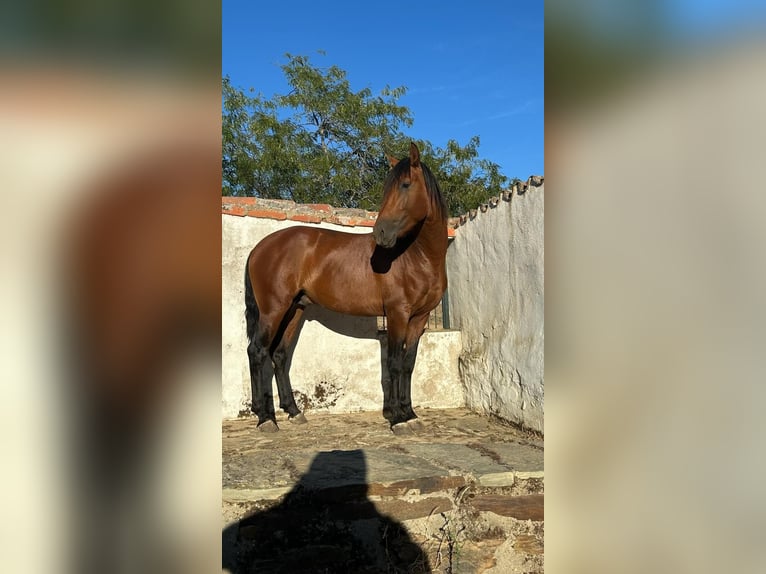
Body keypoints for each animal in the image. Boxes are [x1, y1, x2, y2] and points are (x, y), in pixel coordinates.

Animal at [246, 143, 450, 432]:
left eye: (406, 184)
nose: (380, 233)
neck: (417, 256)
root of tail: (260, 247)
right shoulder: (397, 314)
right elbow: (394, 364)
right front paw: (398, 419)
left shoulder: (419, 318)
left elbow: (408, 364)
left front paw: (410, 414)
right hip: (273, 310)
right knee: (257, 352)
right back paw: (266, 419)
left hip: (294, 309)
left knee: (279, 355)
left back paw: (293, 411)